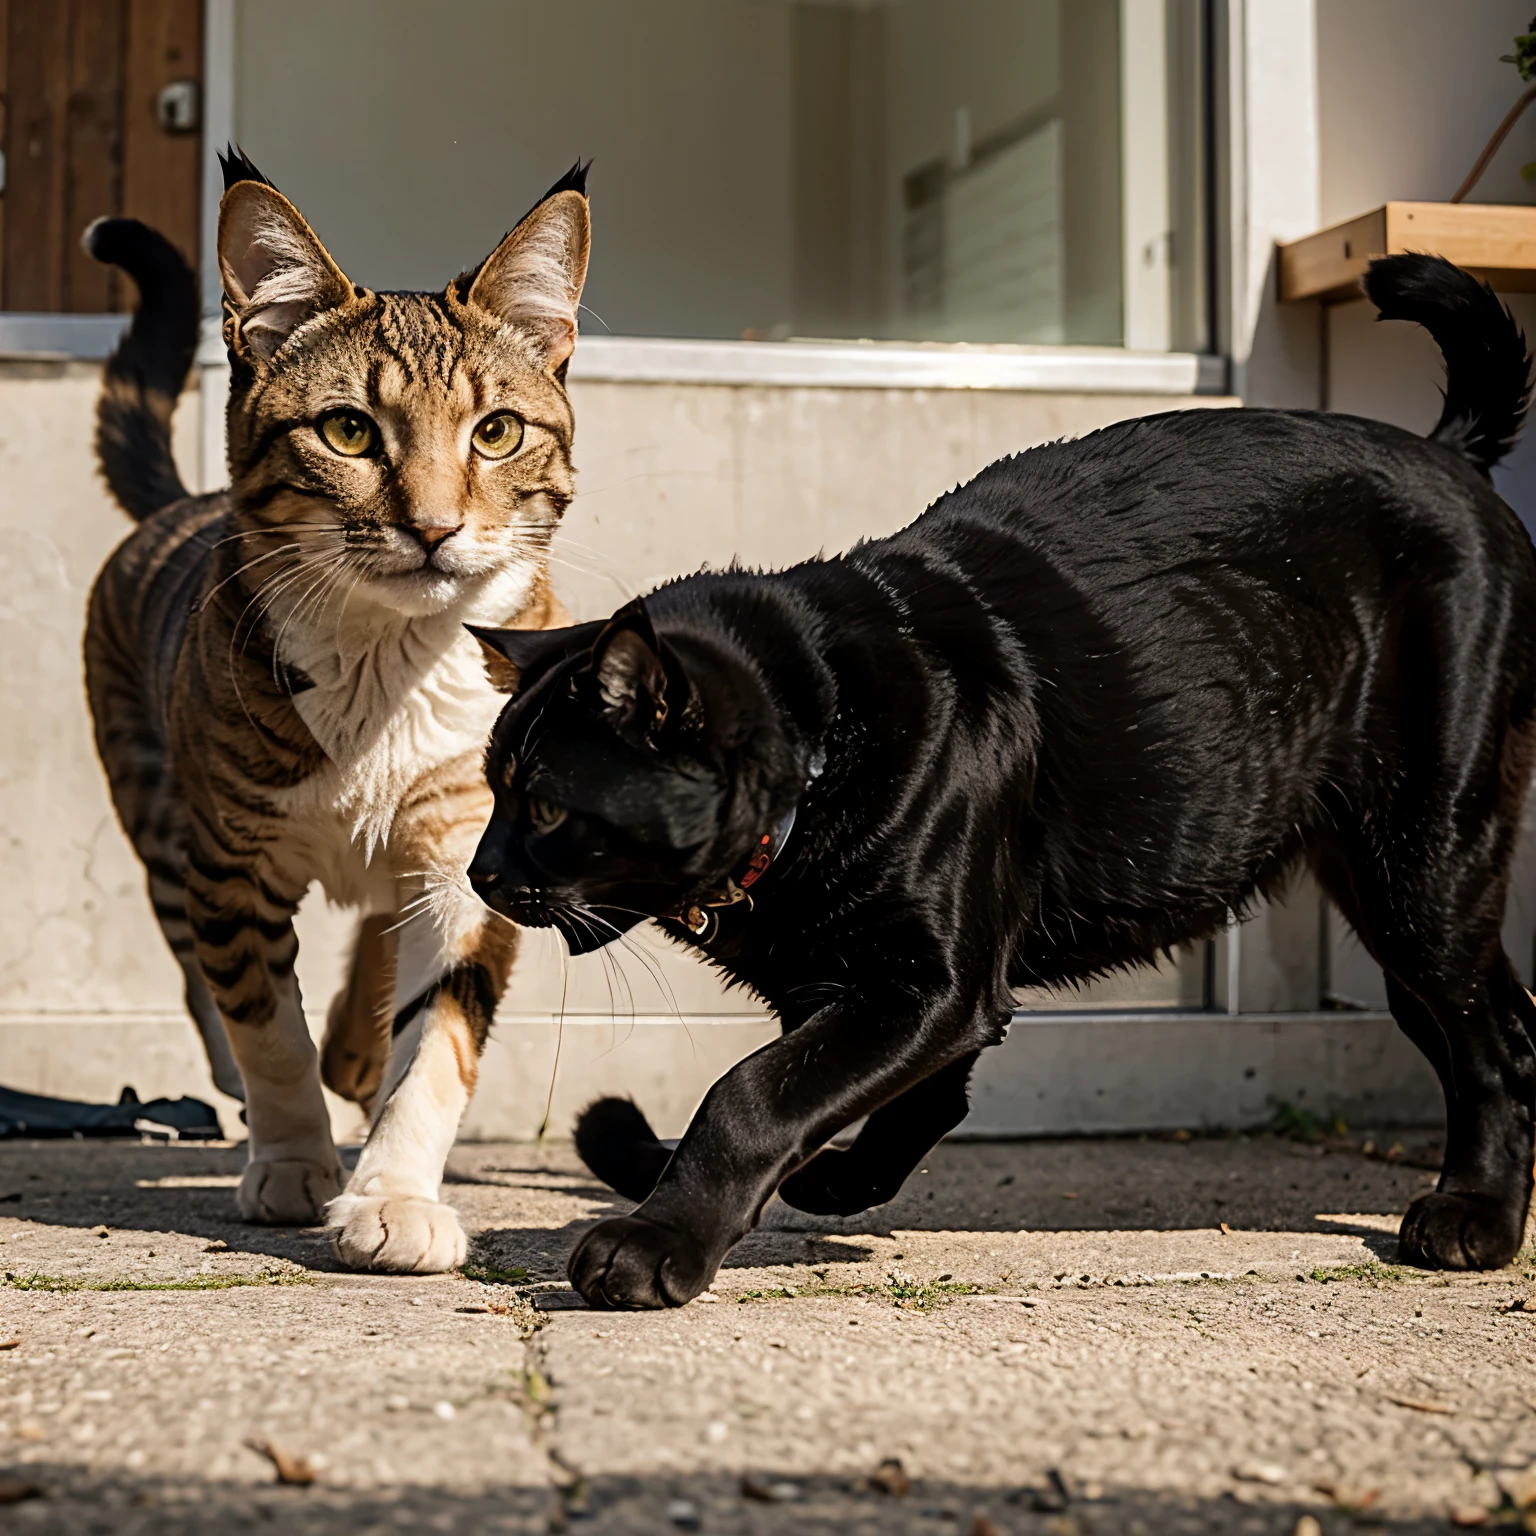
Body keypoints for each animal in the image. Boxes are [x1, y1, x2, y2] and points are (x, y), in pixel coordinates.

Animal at [84, 146, 589, 1271]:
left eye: (496, 432)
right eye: (349, 430)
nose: (436, 527)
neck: (386, 669)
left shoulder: (471, 852)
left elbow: (439, 1038)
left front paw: (393, 1193)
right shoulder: (227, 863)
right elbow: (267, 1026)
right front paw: (292, 1163)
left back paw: (360, 1040)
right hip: (157, 812)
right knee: (202, 973)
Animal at [463, 258, 1536, 1314]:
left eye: (545, 805)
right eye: (492, 791)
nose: (480, 873)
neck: (827, 732)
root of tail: (1446, 452)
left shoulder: (924, 985)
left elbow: (751, 1095)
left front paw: (657, 1243)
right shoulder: (884, 992)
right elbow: (897, 1101)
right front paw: (834, 1183)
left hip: (1424, 872)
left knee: (1496, 1044)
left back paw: (1475, 1215)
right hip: (1394, 907)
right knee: (1487, 1023)